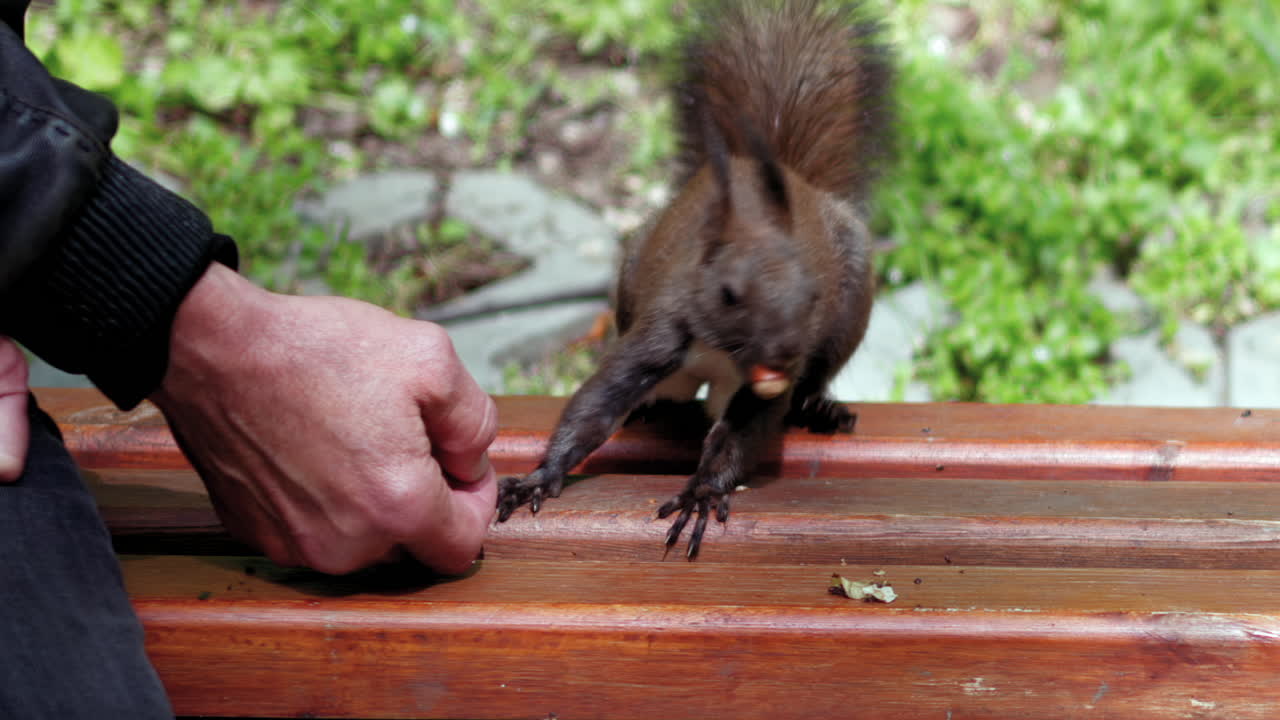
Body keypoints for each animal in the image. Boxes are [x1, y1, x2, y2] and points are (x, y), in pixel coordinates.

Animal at [497, 0, 894, 559]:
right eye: (729, 293)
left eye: (814, 295)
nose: (784, 353)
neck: (723, 351)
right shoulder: (661, 330)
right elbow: (594, 407)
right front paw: (541, 475)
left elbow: (739, 435)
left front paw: (703, 493)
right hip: (632, 278)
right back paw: (652, 405)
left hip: (850, 307)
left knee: (813, 376)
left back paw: (818, 406)